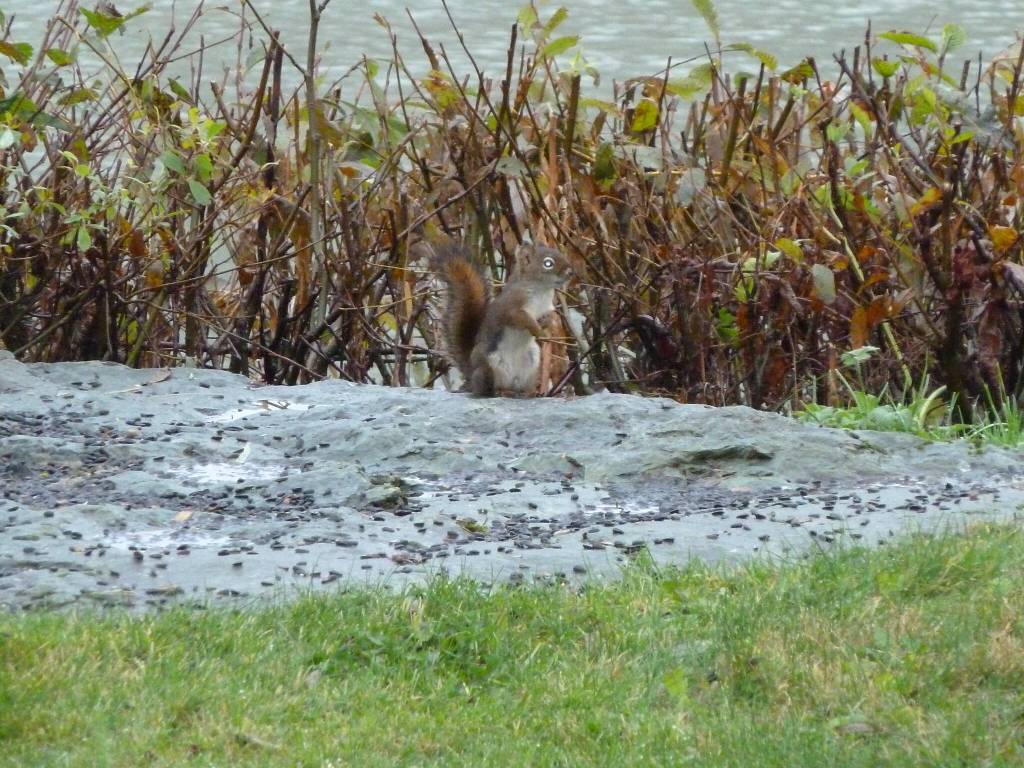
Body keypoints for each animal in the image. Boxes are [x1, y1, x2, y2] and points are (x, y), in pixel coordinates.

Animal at [430, 242, 573, 397]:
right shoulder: (512, 308)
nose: (570, 272)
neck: (542, 291)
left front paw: (545, 330)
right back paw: (500, 391)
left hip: (531, 367)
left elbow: (548, 320)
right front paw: (539, 331)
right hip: (488, 368)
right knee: (486, 390)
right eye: (548, 263)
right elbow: (524, 320)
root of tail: (471, 374)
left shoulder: (547, 310)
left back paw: (528, 393)